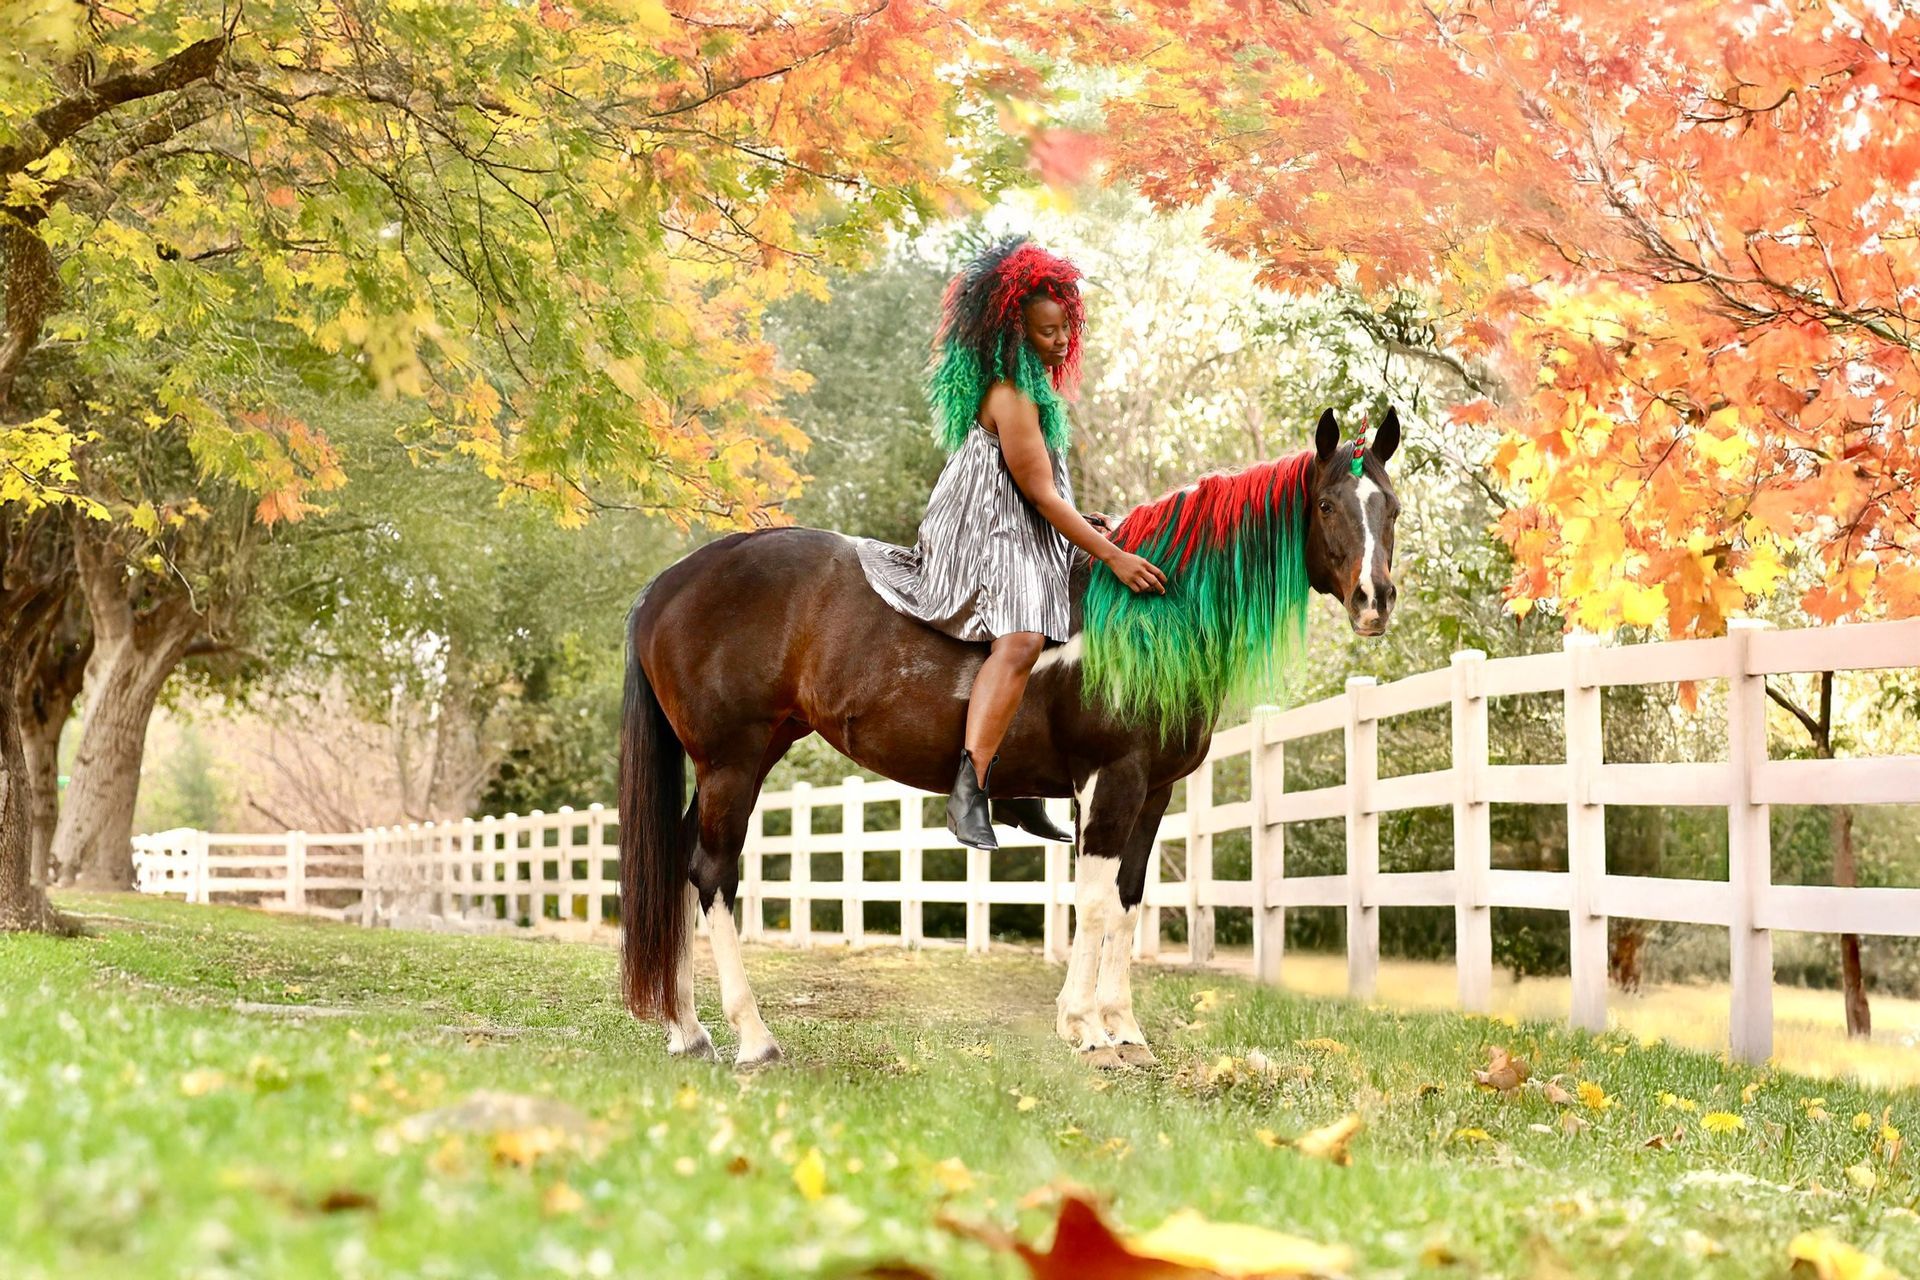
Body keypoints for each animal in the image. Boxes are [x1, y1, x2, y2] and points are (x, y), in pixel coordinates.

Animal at [619, 407, 1402, 1068]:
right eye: (1327, 505)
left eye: (1390, 506)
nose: (1376, 600)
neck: (1148, 613)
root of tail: (669, 583)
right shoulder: (1110, 779)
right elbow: (1093, 901)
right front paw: (1084, 1028)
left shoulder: (1151, 791)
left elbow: (1127, 900)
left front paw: (1124, 1028)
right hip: (732, 761)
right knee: (712, 874)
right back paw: (752, 1037)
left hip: (743, 758)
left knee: (682, 867)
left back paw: (688, 1030)